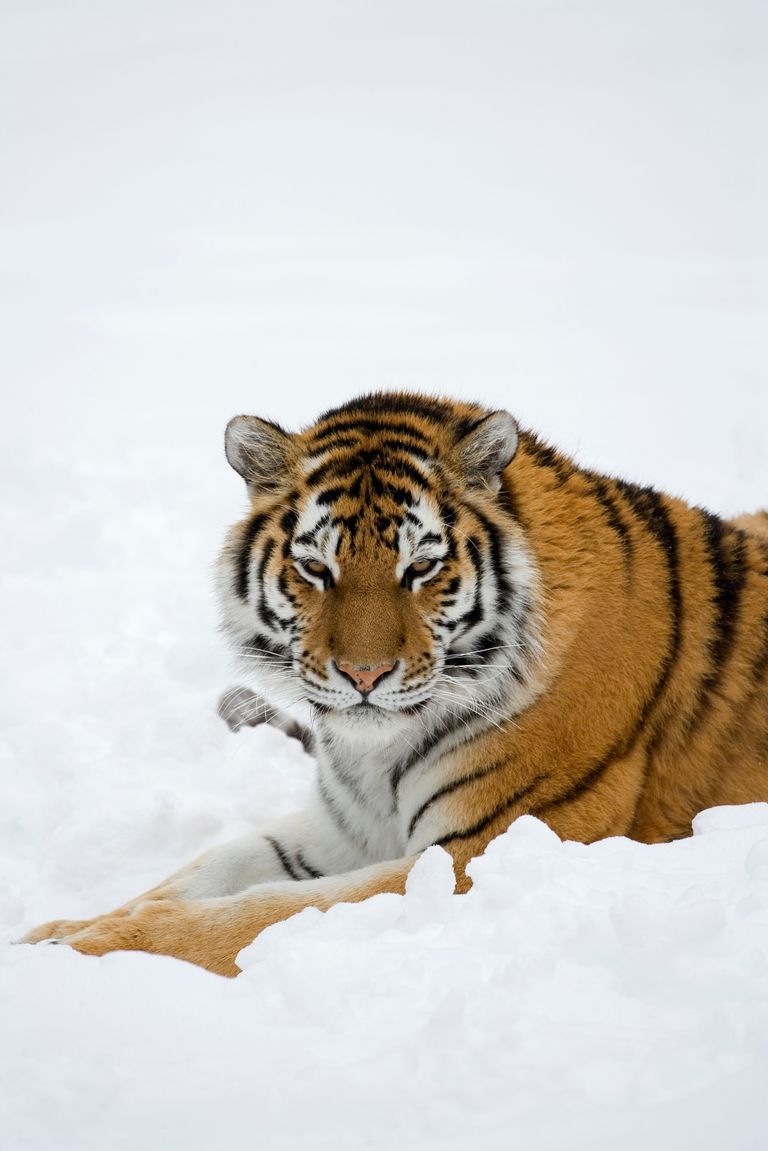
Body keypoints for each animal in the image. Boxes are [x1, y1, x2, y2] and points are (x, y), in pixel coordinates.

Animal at [21, 393, 768, 971]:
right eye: (316, 568)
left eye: (422, 568)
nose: (364, 674)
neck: (374, 753)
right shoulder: (345, 828)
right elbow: (212, 866)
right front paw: (60, 927)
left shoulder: (478, 851)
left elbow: (261, 914)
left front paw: (88, 948)